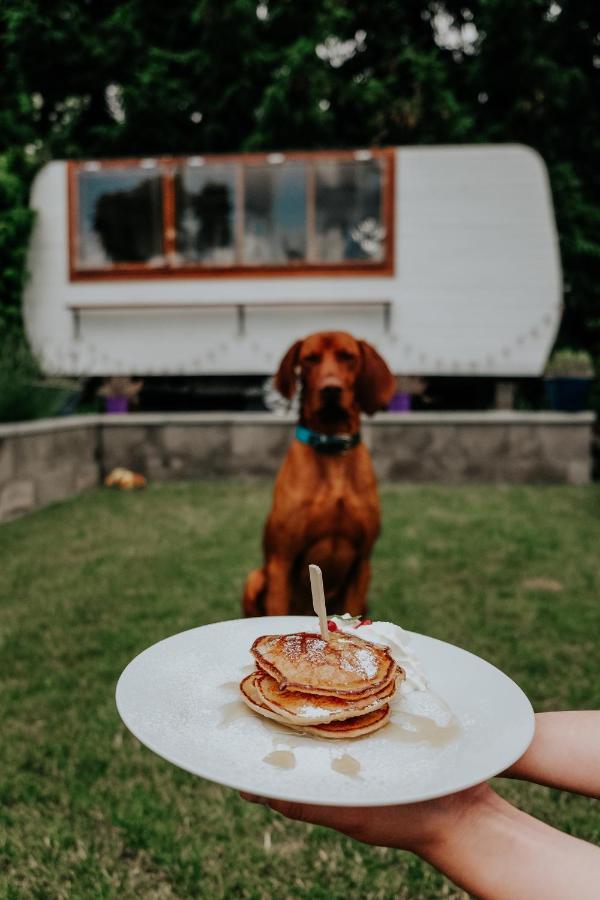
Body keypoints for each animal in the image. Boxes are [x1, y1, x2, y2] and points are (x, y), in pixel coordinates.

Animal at [241, 330, 396, 620]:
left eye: (348, 356)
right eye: (310, 359)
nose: (331, 389)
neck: (332, 450)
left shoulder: (362, 564)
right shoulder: (281, 561)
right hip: (255, 578)